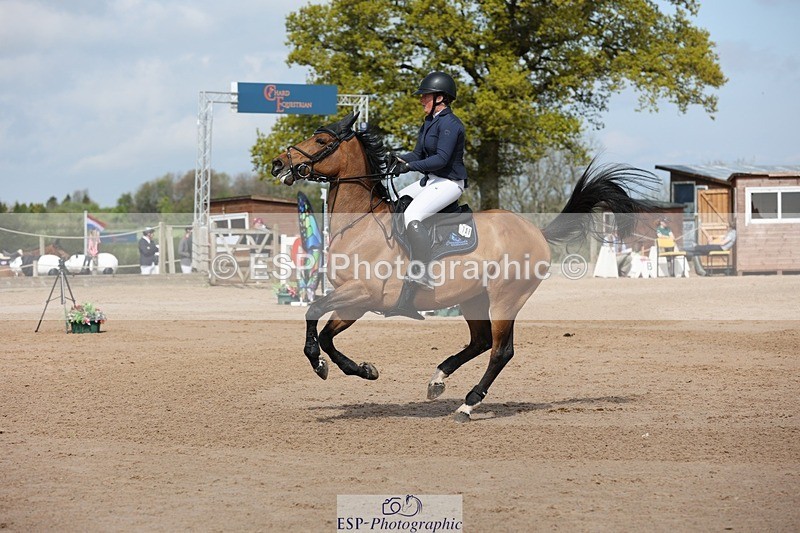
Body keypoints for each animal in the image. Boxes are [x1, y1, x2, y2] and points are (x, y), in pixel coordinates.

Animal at [270, 112, 656, 422]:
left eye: (322, 141)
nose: (278, 164)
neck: (361, 223)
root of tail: (536, 232)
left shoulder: (363, 294)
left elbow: (312, 313)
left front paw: (322, 364)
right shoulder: (355, 302)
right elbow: (324, 331)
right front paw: (362, 370)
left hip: (505, 299)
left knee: (500, 351)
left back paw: (468, 404)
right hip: (473, 299)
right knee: (481, 342)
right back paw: (437, 381)